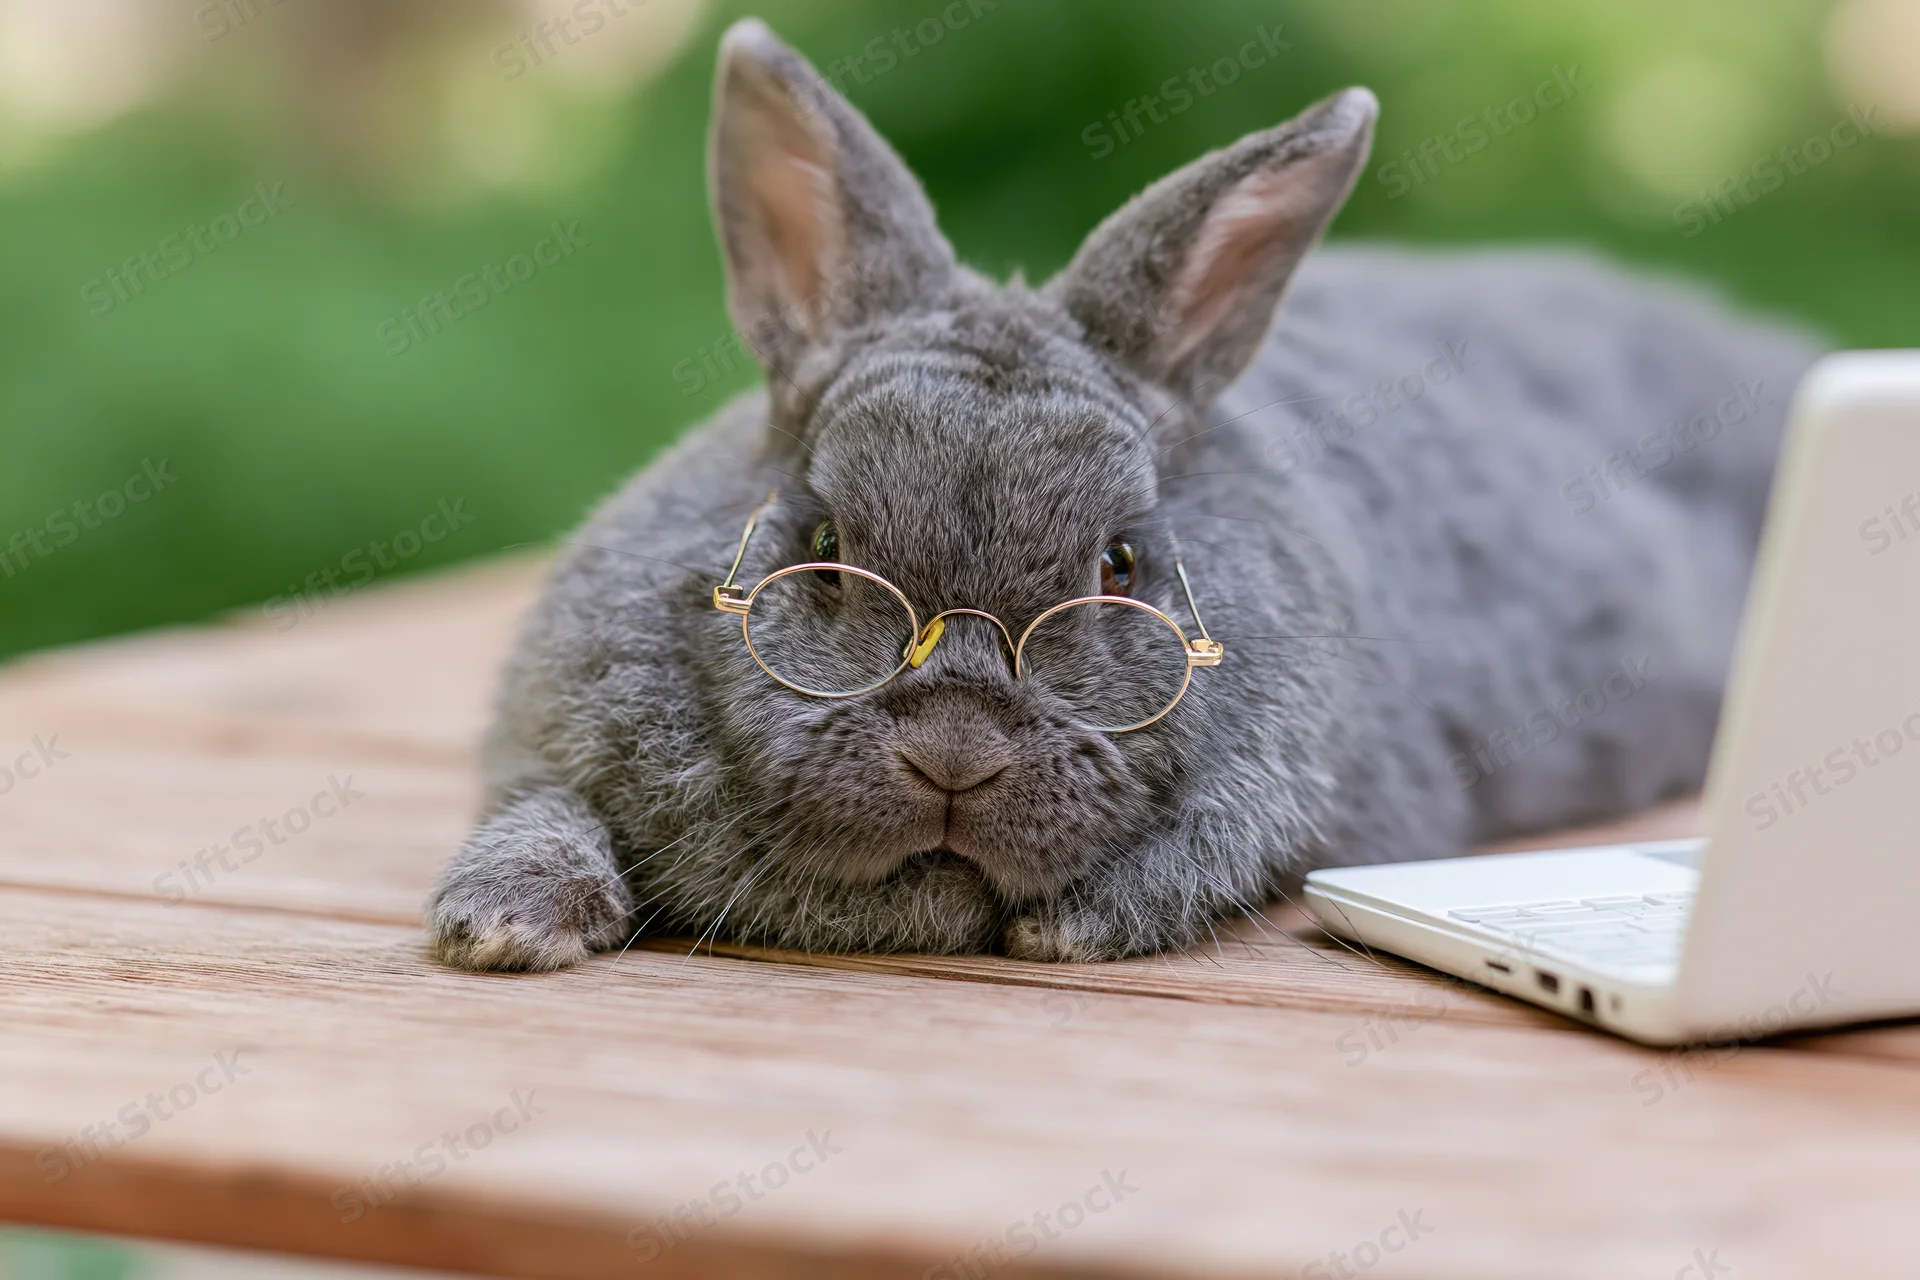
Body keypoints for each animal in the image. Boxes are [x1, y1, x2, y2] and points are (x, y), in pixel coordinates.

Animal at [426, 18, 1821, 971]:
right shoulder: (540, 738)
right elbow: (540, 809)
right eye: (818, 541)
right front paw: (498, 924)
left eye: (1121, 565)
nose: (956, 753)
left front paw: (1069, 930)